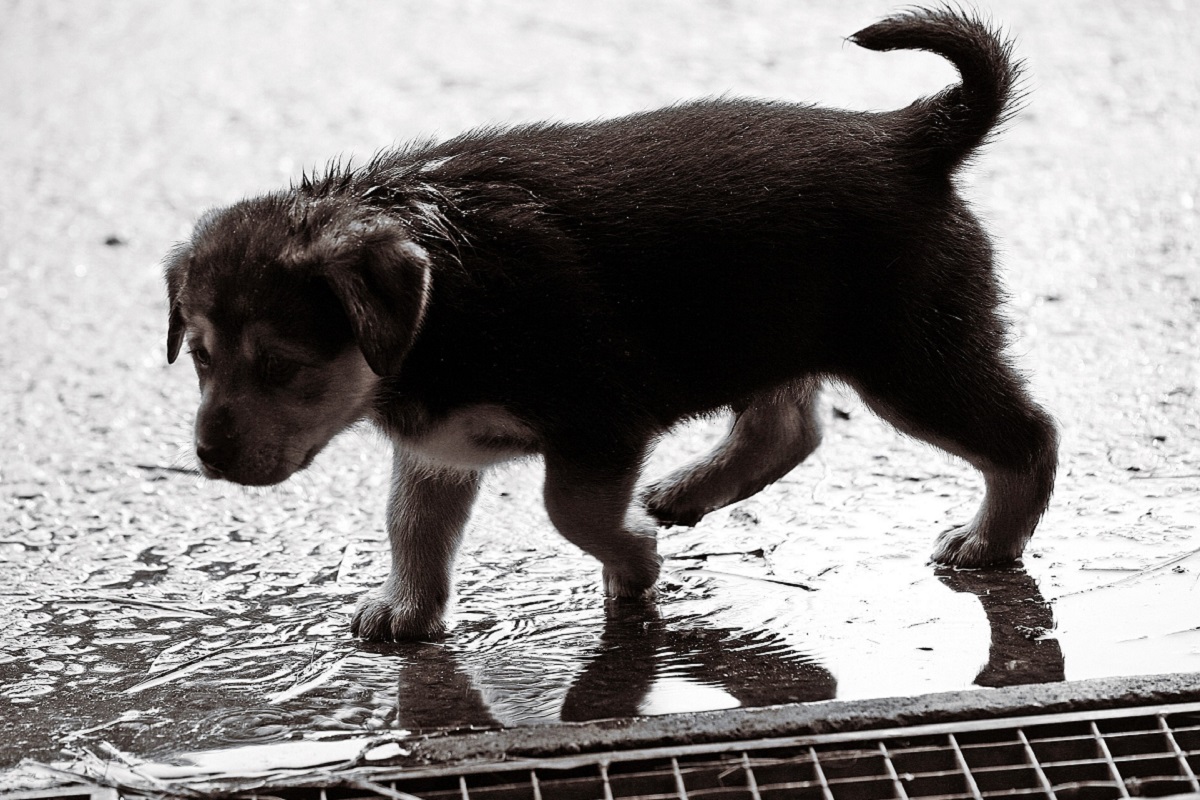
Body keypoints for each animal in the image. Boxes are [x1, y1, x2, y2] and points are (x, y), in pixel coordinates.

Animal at [166, 6, 1060, 642]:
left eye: (281, 365)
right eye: (200, 359)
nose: (207, 458)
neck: (442, 300)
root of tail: (912, 135)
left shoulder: (597, 423)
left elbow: (571, 509)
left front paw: (633, 562)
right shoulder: (439, 446)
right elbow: (412, 527)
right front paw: (409, 613)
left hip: (912, 358)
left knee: (1028, 436)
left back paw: (990, 542)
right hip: (766, 325)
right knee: (788, 423)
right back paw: (690, 490)